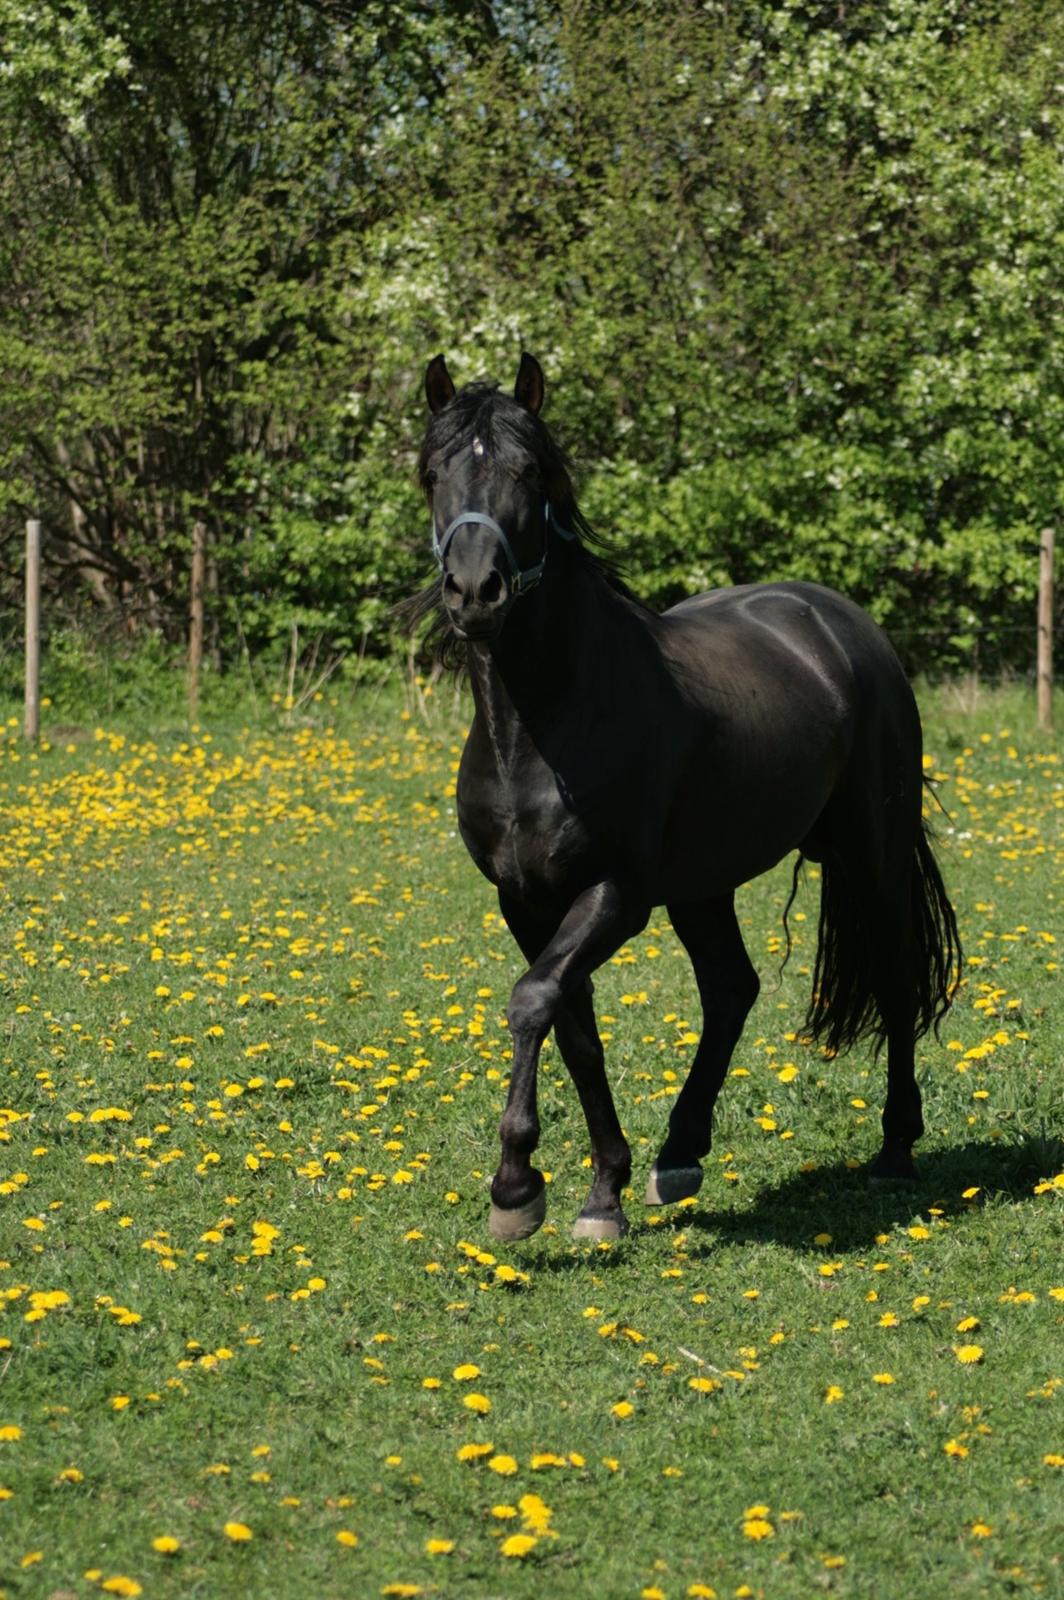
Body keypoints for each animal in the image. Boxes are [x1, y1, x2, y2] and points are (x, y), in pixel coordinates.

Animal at [409, 356, 960, 1241]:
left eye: (529, 471)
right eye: (432, 472)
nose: (473, 591)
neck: (542, 730)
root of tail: (842, 625)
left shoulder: (616, 896)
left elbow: (532, 1003)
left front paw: (516, 1188)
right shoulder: (526, 902)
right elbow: (574, 1030)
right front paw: (603, 1192)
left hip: (870, 853)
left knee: (897, 974)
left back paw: (895, 1149)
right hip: (706, 885)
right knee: (732, 988)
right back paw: (679, 1154)